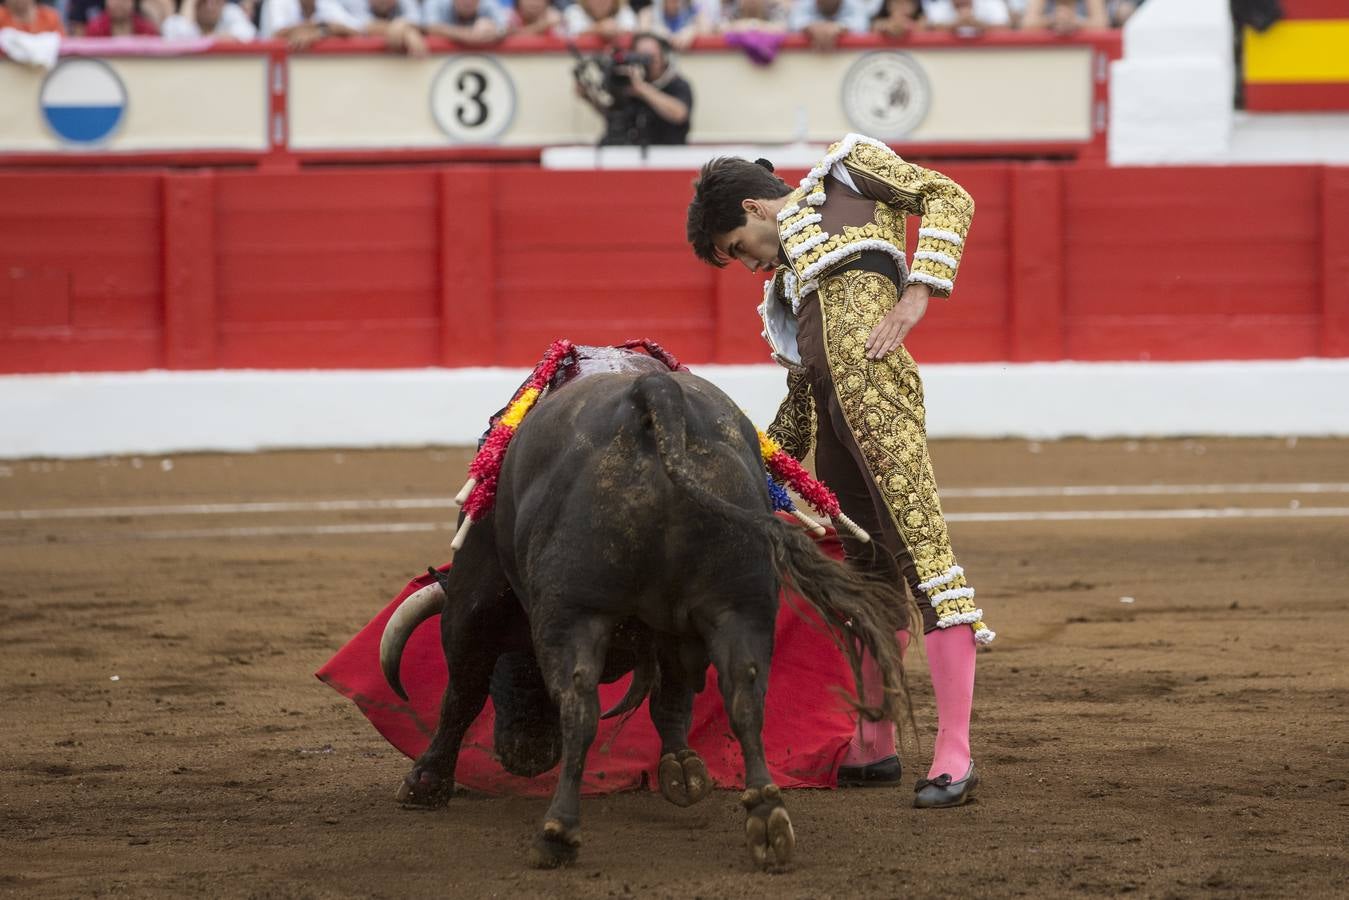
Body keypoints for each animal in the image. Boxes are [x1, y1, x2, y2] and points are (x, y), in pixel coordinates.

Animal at [380, 361, 906, 874]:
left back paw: (557, 833)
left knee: (579, 707)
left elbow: (462, 691)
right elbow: (672, 695)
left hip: (574, 612)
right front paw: (682, 769)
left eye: (513, 664)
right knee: (743, 695)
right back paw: (767, 820)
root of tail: (657, 395)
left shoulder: (475, 593)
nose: (524, 756)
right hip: (742, 604)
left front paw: (425, 782)